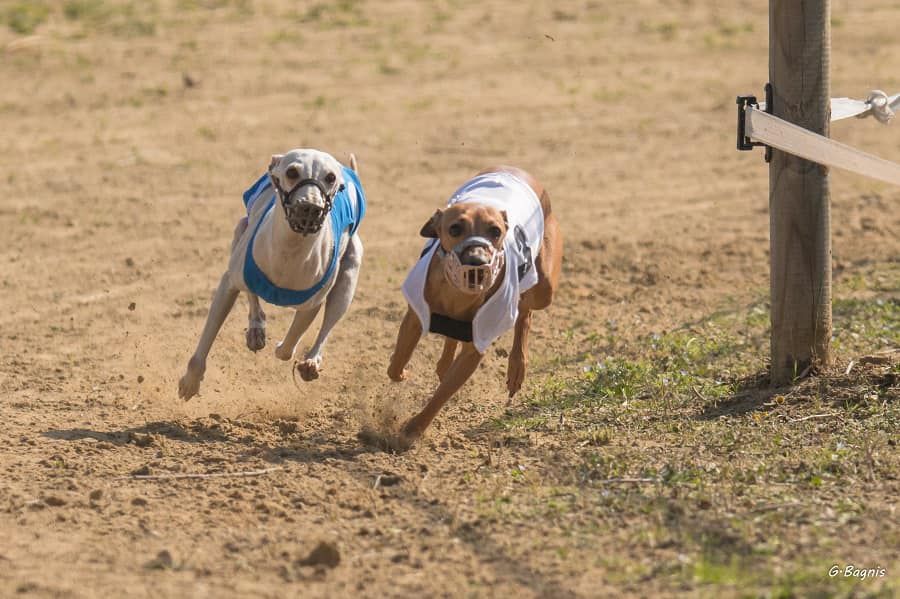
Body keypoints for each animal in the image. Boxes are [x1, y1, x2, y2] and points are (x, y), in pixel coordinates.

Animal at [179, 148, 366, 400]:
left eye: (330, 177)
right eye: (292, 172)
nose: (310, 208)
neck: (291, 248)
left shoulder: (312, 305)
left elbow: (287, 349)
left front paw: (285, 350)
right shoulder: (229, 283)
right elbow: (207, 336)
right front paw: (190, 382)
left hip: (349, 273)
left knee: (329, 322)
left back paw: (311, 361)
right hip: (241, 231)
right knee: (252, 295)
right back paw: (256, 330)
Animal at [386, 166, 564, 442]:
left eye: (495, 231)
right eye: (454, 228)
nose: (477, 261)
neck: (457, 294)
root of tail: (516, 170)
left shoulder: (476, 345)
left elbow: (442, 393)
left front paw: (413, 430)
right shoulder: (414, 317)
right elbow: (396, 365)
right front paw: (403, 373)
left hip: (544, 288)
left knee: (525, 312)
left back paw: (516, 367)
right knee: (453, 338)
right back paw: (445, 362)